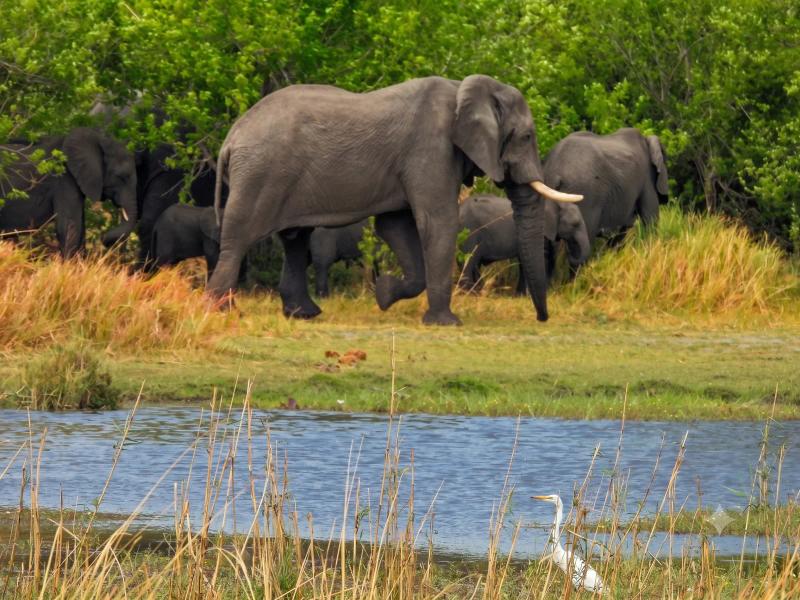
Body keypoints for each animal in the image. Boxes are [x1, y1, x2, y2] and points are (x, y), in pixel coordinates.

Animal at [458, 195, 589, 293]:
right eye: (575, 224)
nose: (569, 251)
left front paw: (523, 295)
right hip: (469, 231)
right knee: (469, 261)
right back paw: (470, 293)